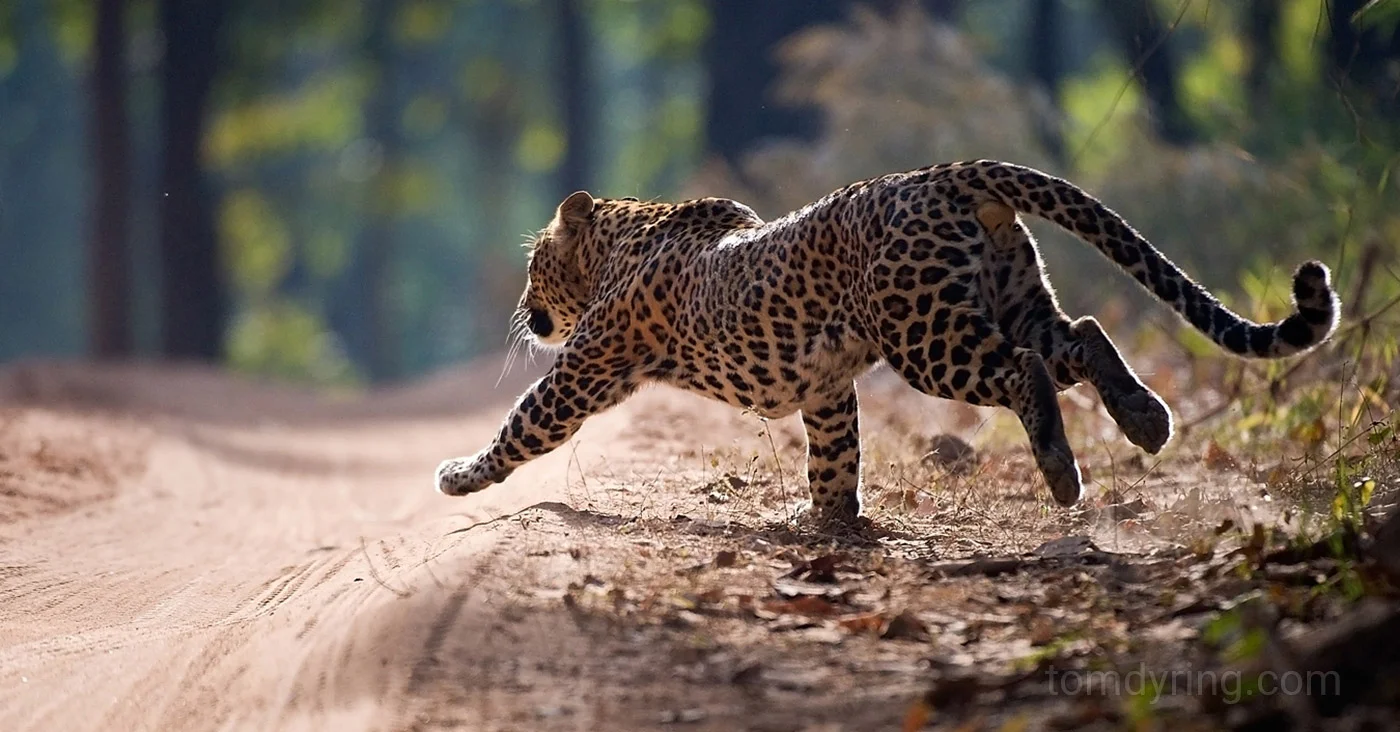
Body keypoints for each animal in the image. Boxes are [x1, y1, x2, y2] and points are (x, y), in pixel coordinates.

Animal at [435, 160, 1339, 523]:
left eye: (536, 263)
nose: (524, 308)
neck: (626, 235)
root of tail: (947, 174)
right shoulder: (827, 386)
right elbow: (836, 454)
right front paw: (830, 521)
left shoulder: (587, 368)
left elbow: (523, 424)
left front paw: (459, 477)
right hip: (1011, 295)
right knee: (1081, 336)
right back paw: (1147, 421)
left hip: (926, 333)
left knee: (1026, 372)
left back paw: (1061, 471)